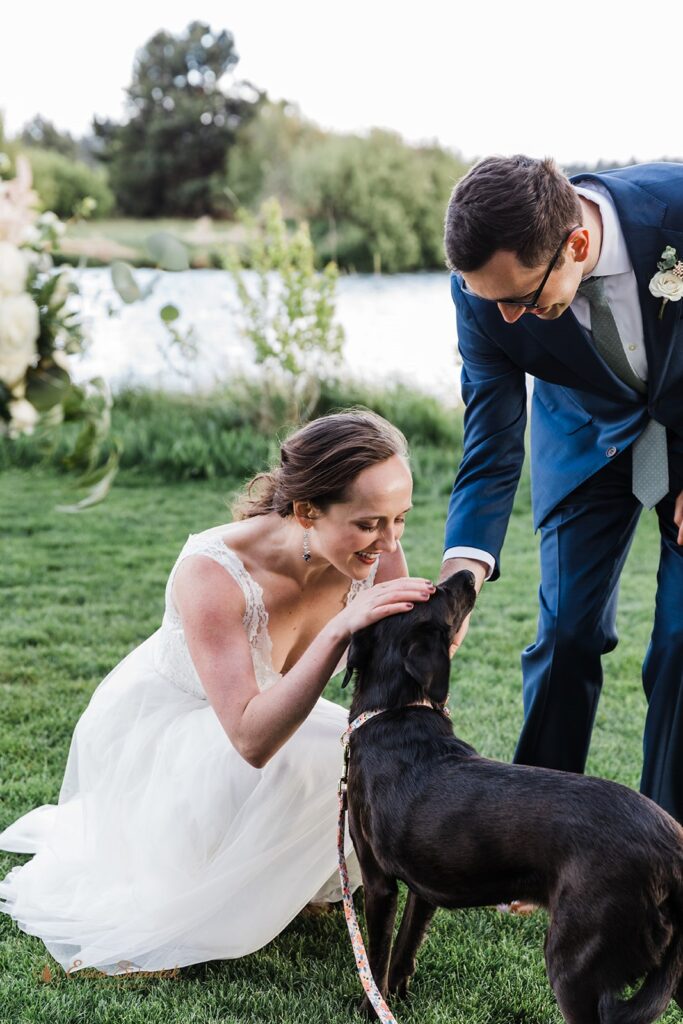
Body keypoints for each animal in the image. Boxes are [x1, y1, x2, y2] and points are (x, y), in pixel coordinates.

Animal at [344, 573, 683, 1024]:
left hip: (575, 964)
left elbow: (375, 958)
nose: (468, 575)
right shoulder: (425, 883)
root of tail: (672, 849)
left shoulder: (379, 882)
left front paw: (372, 1008)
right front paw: (397, 993)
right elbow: (406, 945)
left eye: (436, 590)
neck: (395, 709)